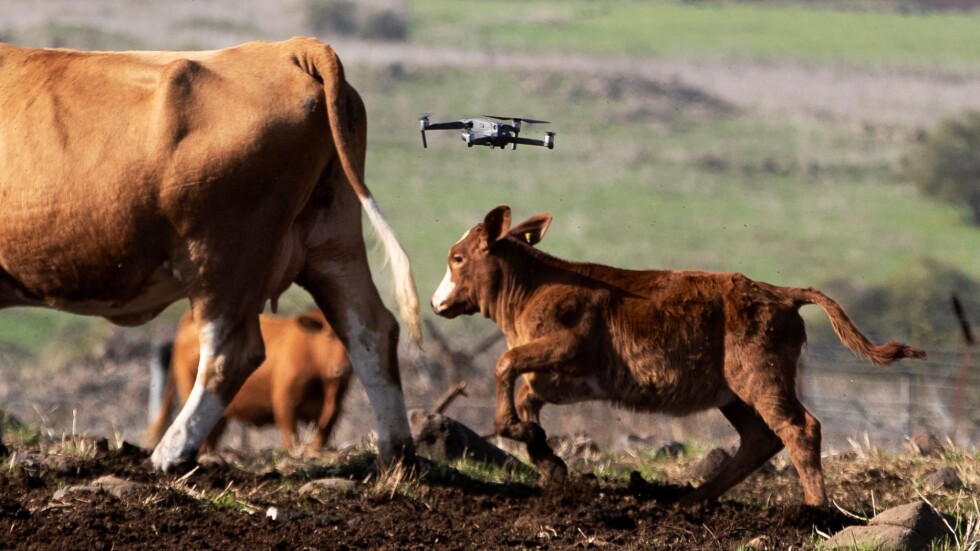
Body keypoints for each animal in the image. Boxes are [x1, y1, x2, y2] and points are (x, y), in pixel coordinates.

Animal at [147, 308, 354, 454]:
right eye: (329, 335)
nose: (342, 369)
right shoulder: (284, 401)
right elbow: (290, 437)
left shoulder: (334, 406)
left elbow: (323, 431)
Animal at [430, 205, 928, 506]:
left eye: (457, 258)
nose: (436, 302)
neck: (533, 289)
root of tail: (779, 293)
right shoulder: (563, 375)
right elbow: (526, 393)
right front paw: (546, 456)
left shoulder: (566, 345)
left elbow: (505, 365)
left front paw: (519, 431)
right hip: (732, 392)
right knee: (760, 438)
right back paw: (694, 499)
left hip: (759, 376)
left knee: (799, 429)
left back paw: (815, 512)